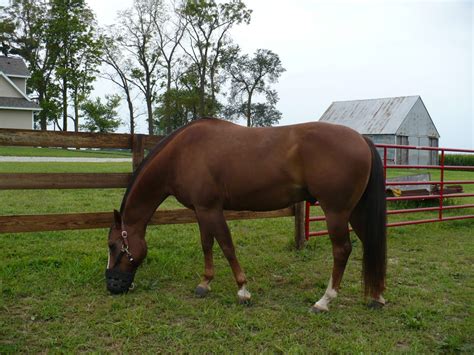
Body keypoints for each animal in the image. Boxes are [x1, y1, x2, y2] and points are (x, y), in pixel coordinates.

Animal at [105, 119, 386, 312]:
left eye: (113, 245)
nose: (112, 286)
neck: (182, 154)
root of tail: (362, 139)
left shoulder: (211, 209)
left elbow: (227, 246)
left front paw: (242, 290)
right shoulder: (201, 210)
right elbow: (207, 244)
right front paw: (205, 283)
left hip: (336, 213)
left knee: (342, 251)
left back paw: (324, 301)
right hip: (355, 212)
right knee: (370, 244)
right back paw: (377, 297)